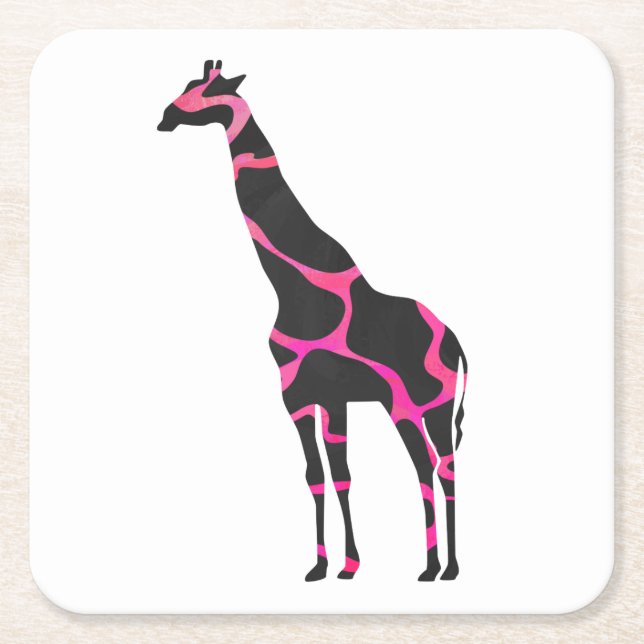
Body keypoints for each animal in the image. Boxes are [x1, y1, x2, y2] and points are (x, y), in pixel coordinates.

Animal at [158, 60, 468, 582]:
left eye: (206, 91)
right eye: (187, 85)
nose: (164, 117)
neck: (290, 287)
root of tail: (457, 344)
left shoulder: (330, 394)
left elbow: (340, 473)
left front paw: (348, 564)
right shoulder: (303, 398)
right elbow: (320, 476)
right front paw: (328, 566)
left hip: (424, 404)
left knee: (438, 467)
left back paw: (442, 569)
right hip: (414, 406)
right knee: (431, 466)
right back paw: (435, 566)